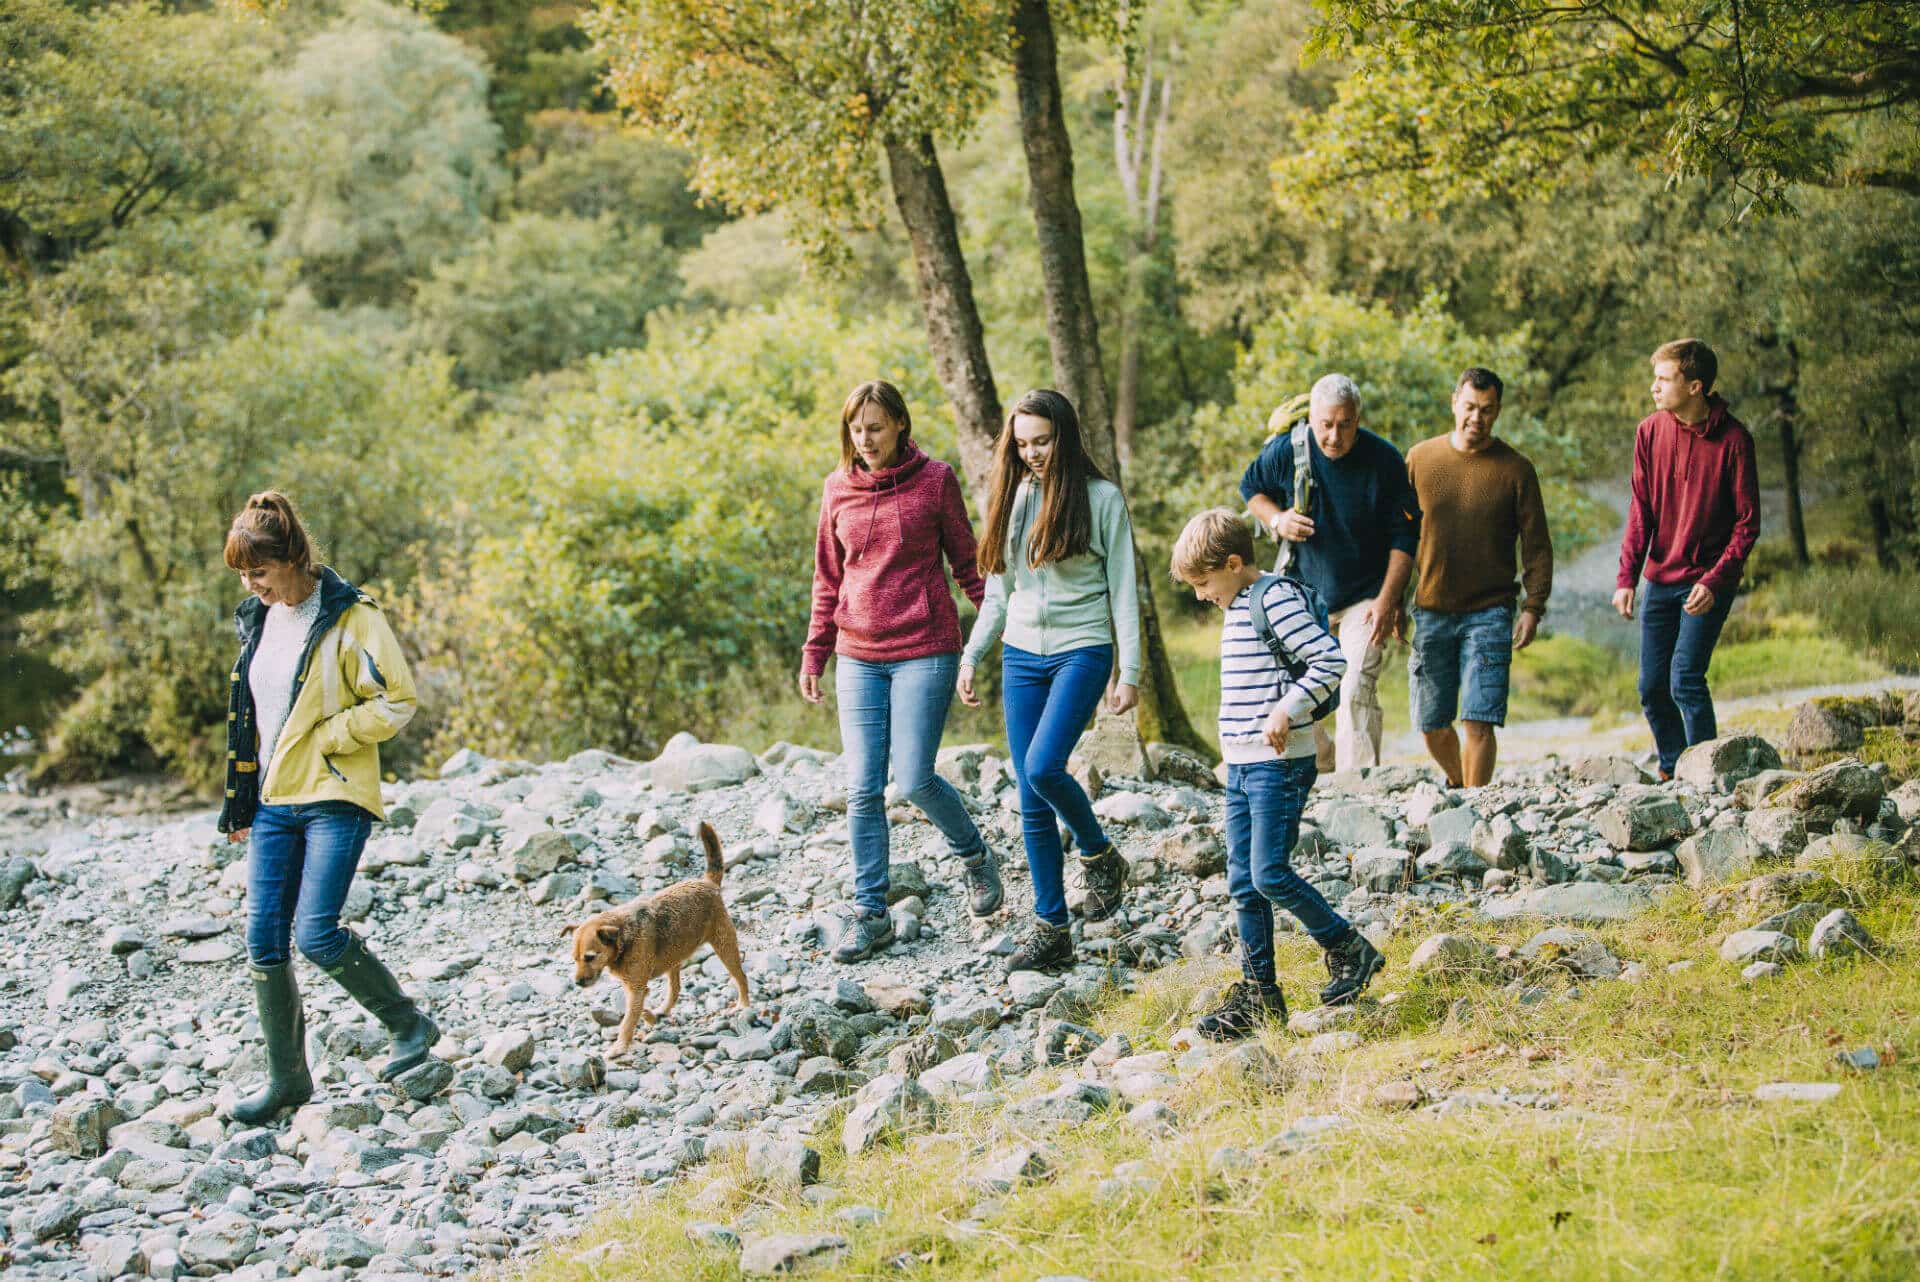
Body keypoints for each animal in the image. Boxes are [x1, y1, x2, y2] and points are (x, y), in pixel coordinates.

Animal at [560, 825, 748, 1059]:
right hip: (673, 959)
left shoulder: (636, 988)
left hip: (725, 947)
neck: (623, 940)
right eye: (574, 959)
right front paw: (649, 1017)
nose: (576, 983)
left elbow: (627, 1021)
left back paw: (744, 1004)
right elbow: (634, 1011)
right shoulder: (634, 988)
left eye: (589, 957)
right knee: (675, 989)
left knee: (741, 977)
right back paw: (663, 1010)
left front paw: (619, 1047)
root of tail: (708, 882)